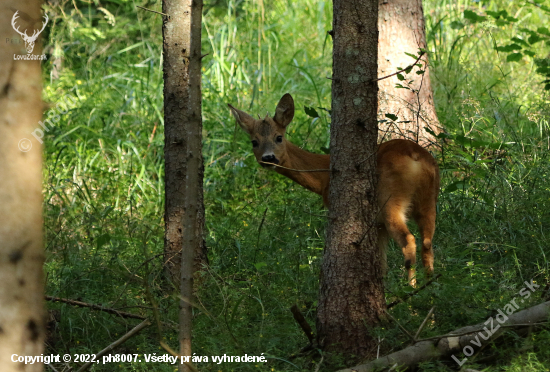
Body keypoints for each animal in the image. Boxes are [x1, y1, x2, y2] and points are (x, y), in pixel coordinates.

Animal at [227, 93, 440, 284]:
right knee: (427, 244)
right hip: (429, 199)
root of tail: (414, 157)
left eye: (278, 137)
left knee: (409, 241)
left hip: (390, 200)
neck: (324, 176)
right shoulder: (378, 225)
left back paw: (410, 291)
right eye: (254, 142)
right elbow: (382, 265)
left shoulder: (373, 220)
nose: (268, 158)